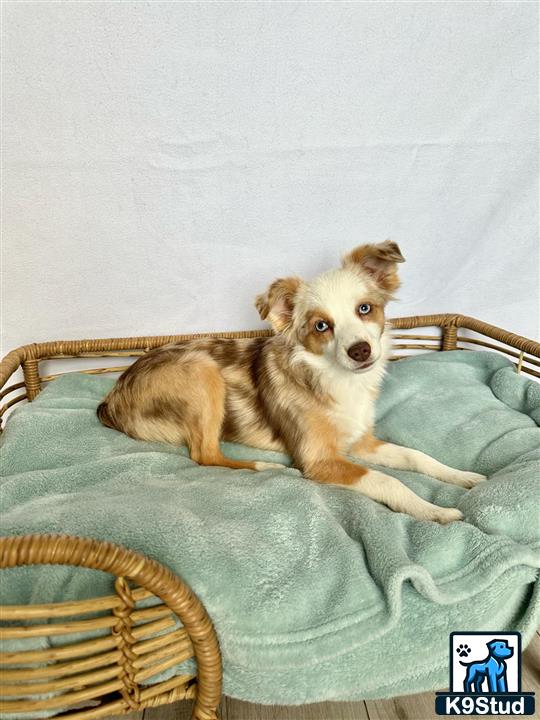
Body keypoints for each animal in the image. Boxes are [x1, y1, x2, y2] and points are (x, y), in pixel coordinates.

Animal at [98, 242, 486, 524]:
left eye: (365, 309)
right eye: (321, 326)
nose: (360, 351)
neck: (336, 380)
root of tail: (112, 398)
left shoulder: (362, 442)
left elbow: (416, 456)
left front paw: (462, 476)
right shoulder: (319, 461)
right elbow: (387, 480)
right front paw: (433, 510)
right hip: (202, 370)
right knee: (204, 455)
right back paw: (265, 467)